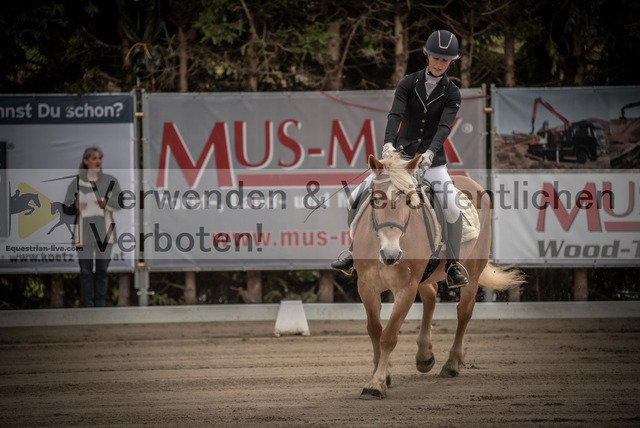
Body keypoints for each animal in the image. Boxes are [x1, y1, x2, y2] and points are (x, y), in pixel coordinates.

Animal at [352, 152, 525, 399]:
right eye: (375, 200)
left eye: (408, 201)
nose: (391, 254)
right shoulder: (366, 286)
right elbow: (375, 331)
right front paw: (383, 375)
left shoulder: (406, 288)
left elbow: (389, 336)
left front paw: (376, 383)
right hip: (426, 276)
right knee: (431, 298)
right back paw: (425, 357)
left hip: (472, 271)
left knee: (464, 312)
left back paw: (452, 364)